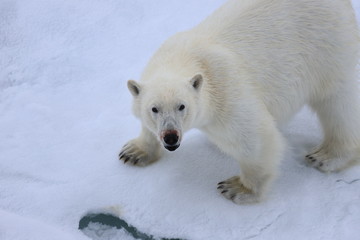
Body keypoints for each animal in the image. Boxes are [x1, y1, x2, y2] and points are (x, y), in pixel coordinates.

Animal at [119, 0, 360, 204]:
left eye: (182, 106)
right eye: (154, 109)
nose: (170, 137)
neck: (185, 57)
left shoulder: (225, 90)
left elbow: (255, 138)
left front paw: (237, 188)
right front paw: (133, 152)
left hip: (328, 49)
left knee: (338, 105)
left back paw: (326, 155)